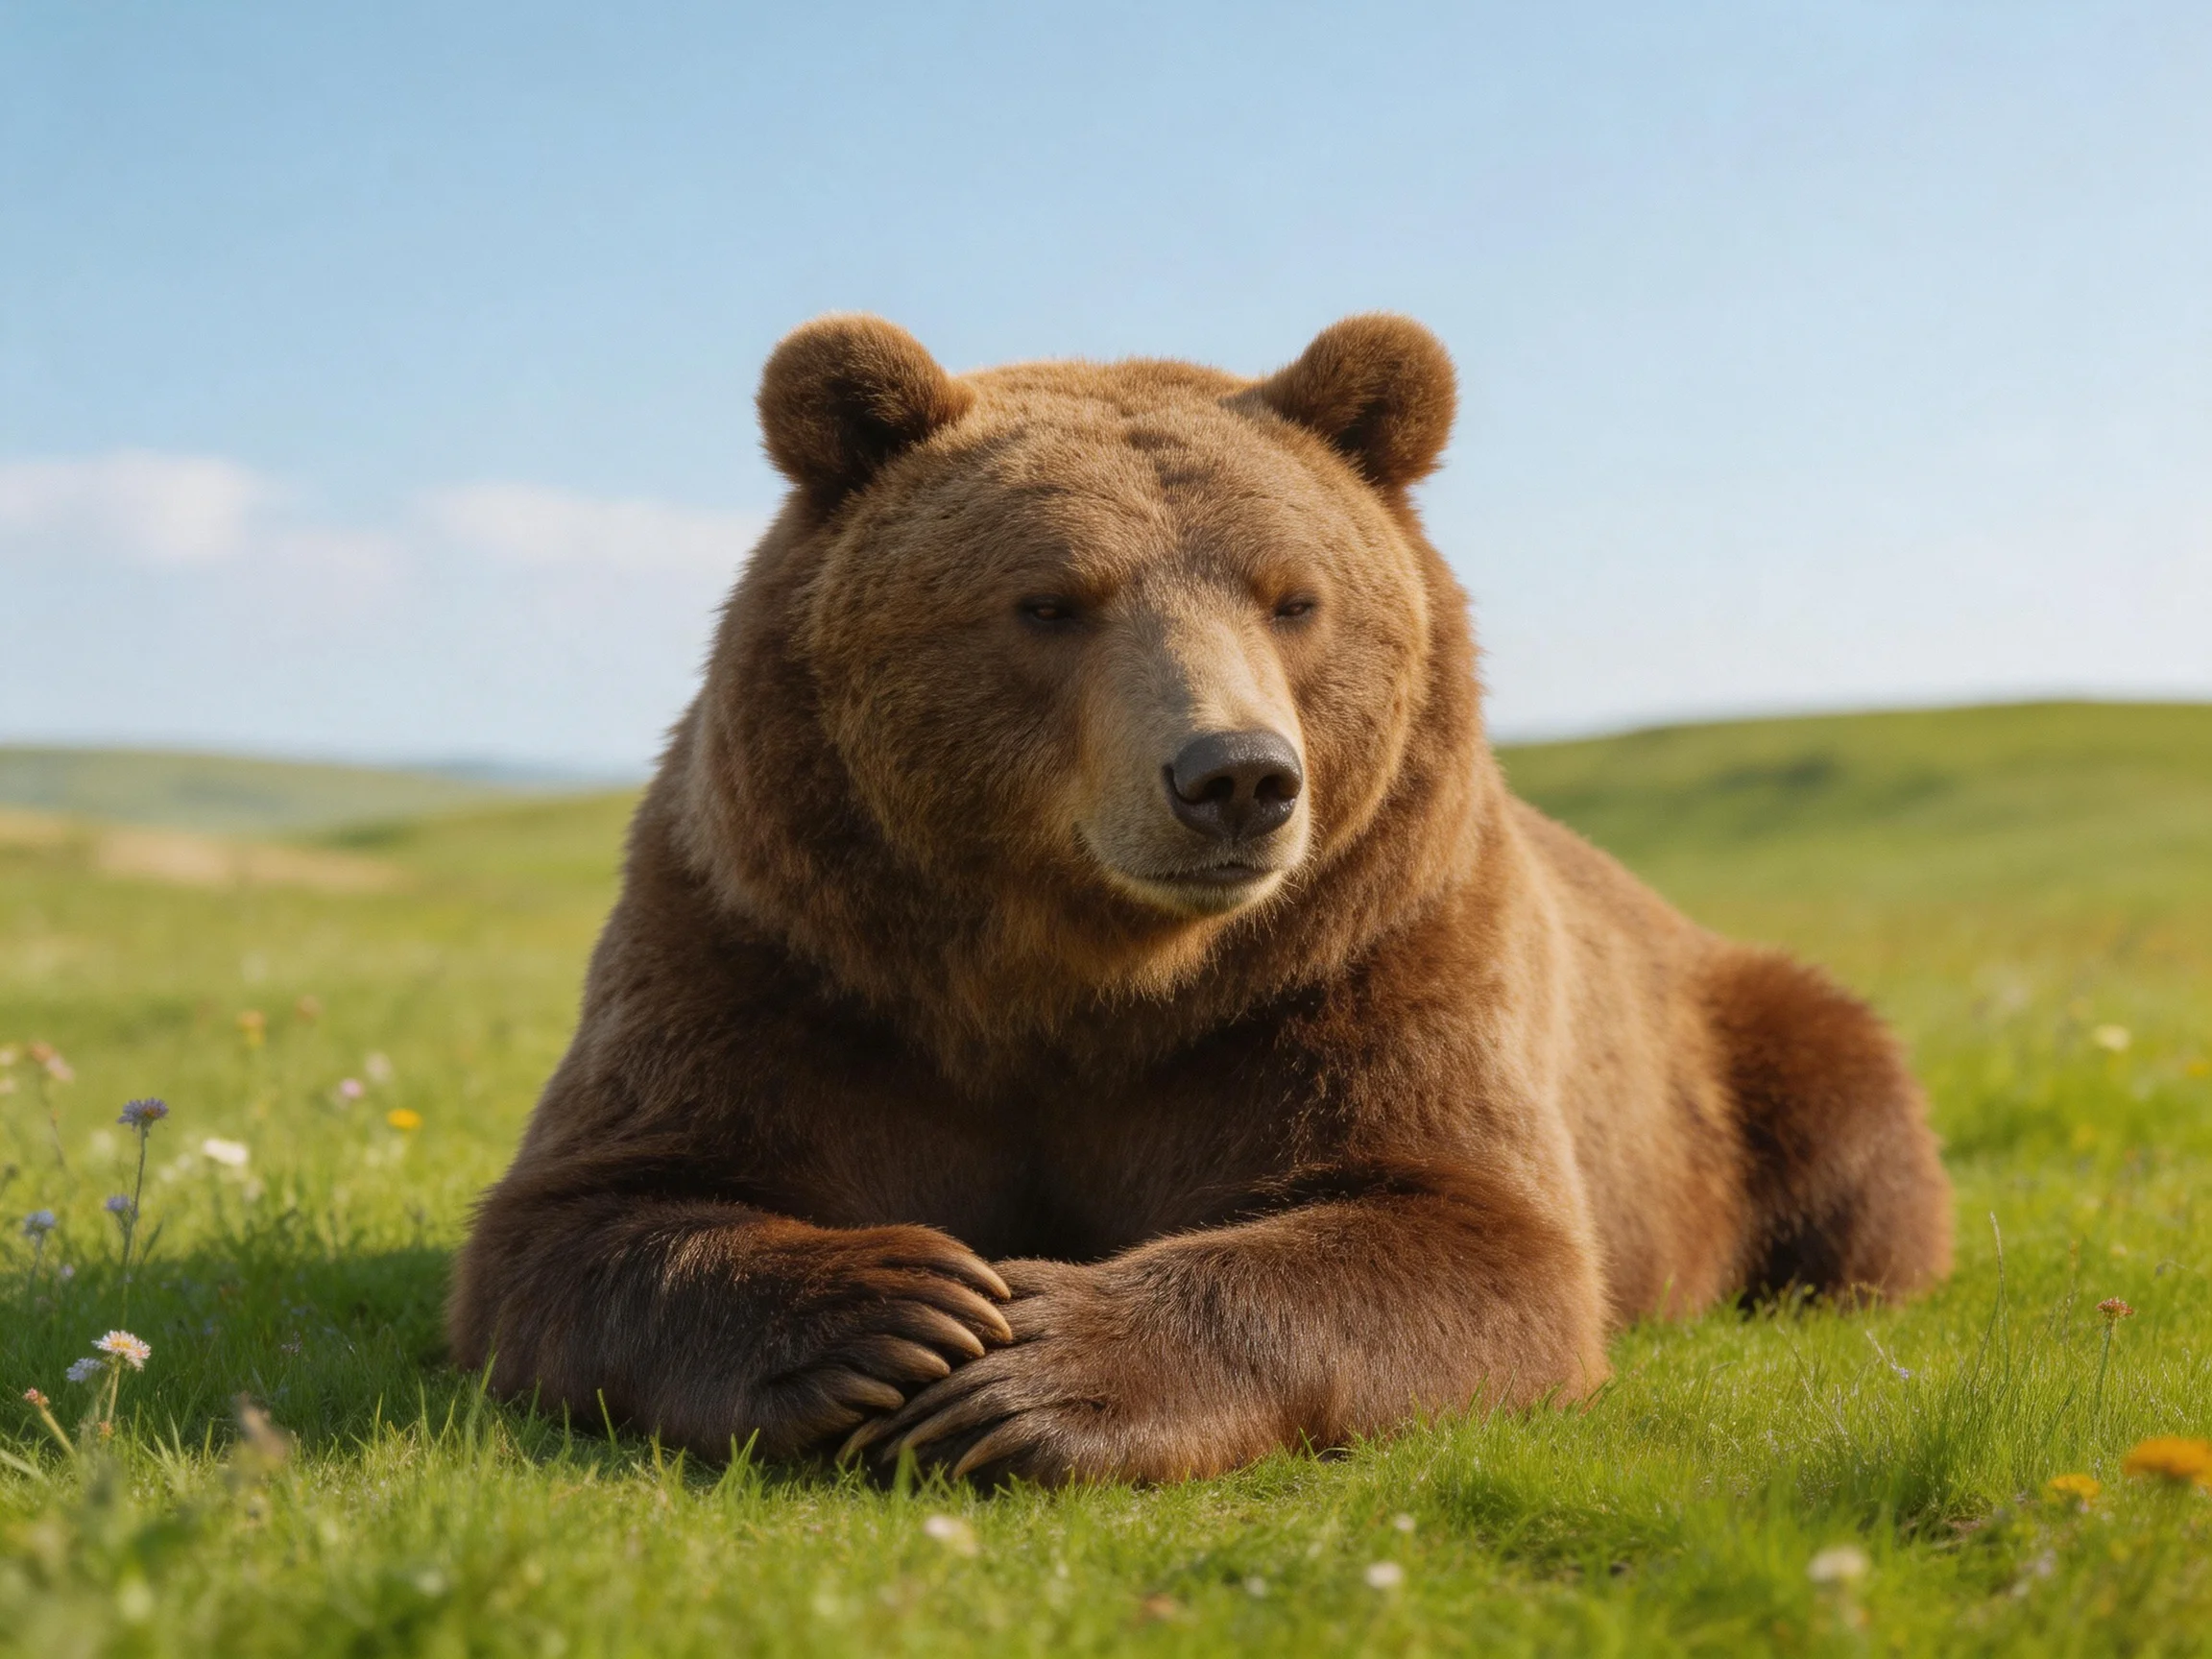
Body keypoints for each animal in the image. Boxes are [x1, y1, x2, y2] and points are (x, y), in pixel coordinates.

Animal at [448, 313, 1953, 1484]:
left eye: (1294, 598)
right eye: (1050, 601)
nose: (1236, 776)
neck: (1086, 972)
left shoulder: (1365, 955)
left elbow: (1467, 1230)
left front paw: (1033, 1369)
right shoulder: (778, 945)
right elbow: (590, 1207)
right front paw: (898, 1309)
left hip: (1734, 1046)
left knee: (1845, 1107)